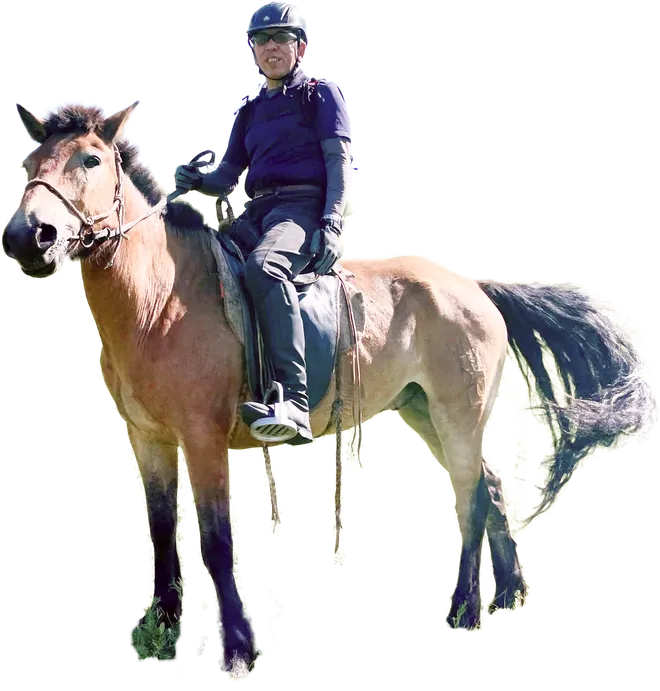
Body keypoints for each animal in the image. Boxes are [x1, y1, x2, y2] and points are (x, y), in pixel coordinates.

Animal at [3, 99, 655, 675]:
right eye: (30, 161)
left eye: (90, 159)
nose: (28, 236)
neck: (159, 297)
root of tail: (474, 285)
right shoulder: (148, 438)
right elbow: (162, 528)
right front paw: (161, 625)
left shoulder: (202, 438)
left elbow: (215, 540)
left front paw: (236, 648)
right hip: (426, 413)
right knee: (491, 491)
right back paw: (503, 598)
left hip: (459, 415)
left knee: (471, 500)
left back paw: (464, 609)